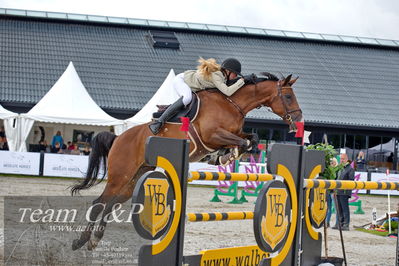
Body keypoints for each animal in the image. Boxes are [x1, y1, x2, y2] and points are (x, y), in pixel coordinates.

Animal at [71, 72, 304, 249]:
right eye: (288, 97)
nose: (299, 119)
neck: (233, 104)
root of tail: (119, 137)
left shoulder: (233, 133)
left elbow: (251, 138)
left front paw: (225, 155)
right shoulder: (213, 135)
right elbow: (243, 141)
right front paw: (228, 154)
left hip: (134, 178)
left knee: (111, 204)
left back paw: (94, 240)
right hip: (120, 175)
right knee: (99, 202)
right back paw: (80, 241)